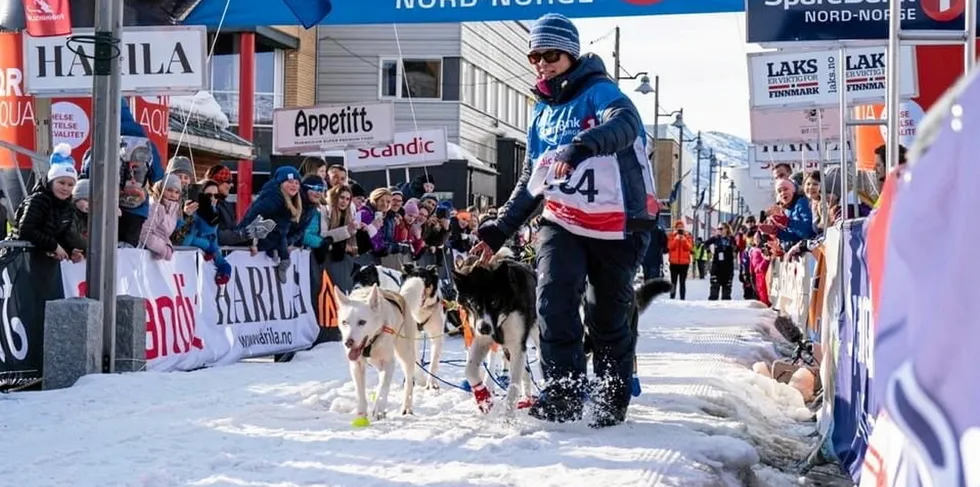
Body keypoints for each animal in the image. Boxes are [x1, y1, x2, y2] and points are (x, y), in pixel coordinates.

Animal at [334, 276, 424, 422]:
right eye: (344, 322)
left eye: (362, 322)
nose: (348, 342)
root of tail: (401, 297)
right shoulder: (356, 365)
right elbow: (360, 392)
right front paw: (361, 413)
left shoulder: (388, 363)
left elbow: (383, 388)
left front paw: (378, 410)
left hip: (405, 354)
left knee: (409, 382)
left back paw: (406, 407)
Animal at [454, 248, 672, 416]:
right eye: (473, 302)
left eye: (493, 301)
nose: (484, 327)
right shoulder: (485, 339)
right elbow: (470, 369)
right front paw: (483, 398)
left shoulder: (516, 343)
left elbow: (513, 388)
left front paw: (508, 418)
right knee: (525, 371)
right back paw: (528, 398)